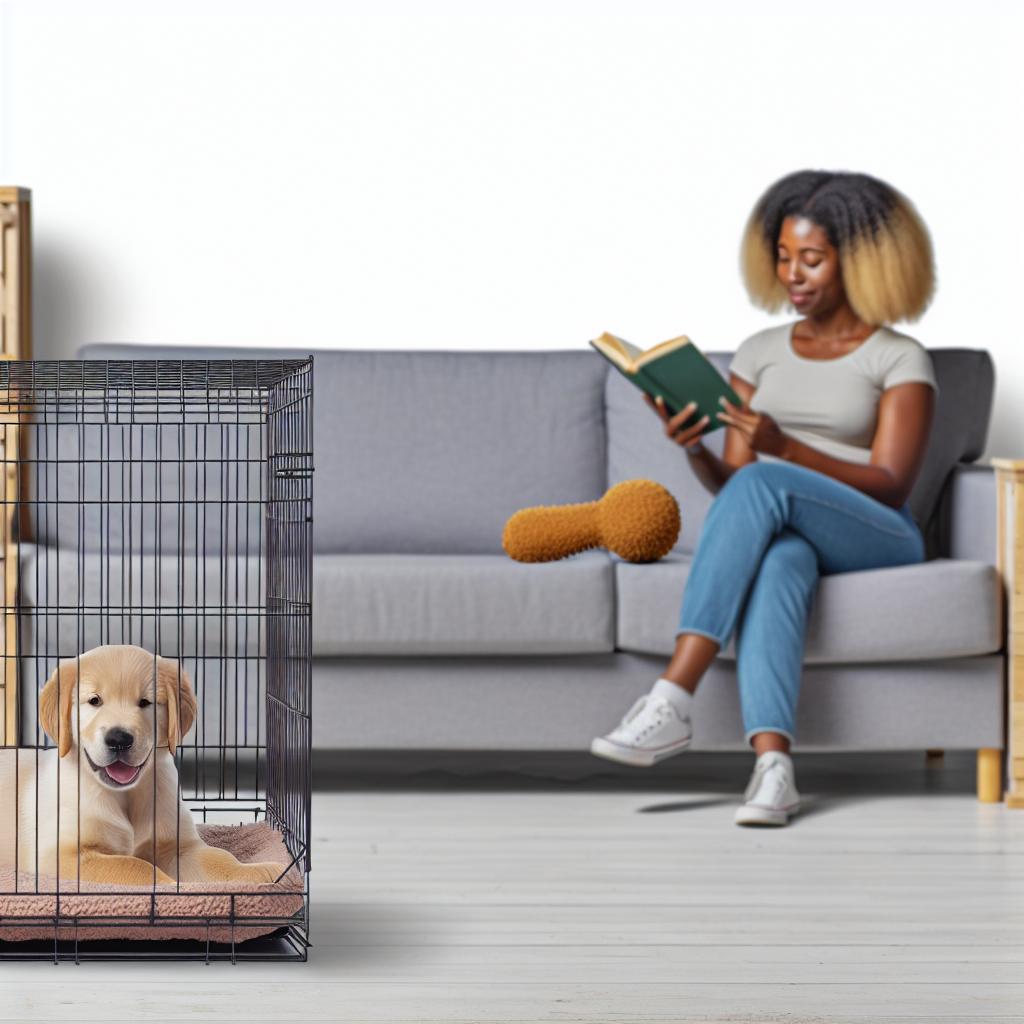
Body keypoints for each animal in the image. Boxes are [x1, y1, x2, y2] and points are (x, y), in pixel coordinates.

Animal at [0, 647, 282, 888]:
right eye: (94, 701)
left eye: (145, 702)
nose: (119, 739)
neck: (124, 794)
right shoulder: (62, 855)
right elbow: (137, 867)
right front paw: (173, 889)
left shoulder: (179, 846)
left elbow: (220, 858)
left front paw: (264, 872)